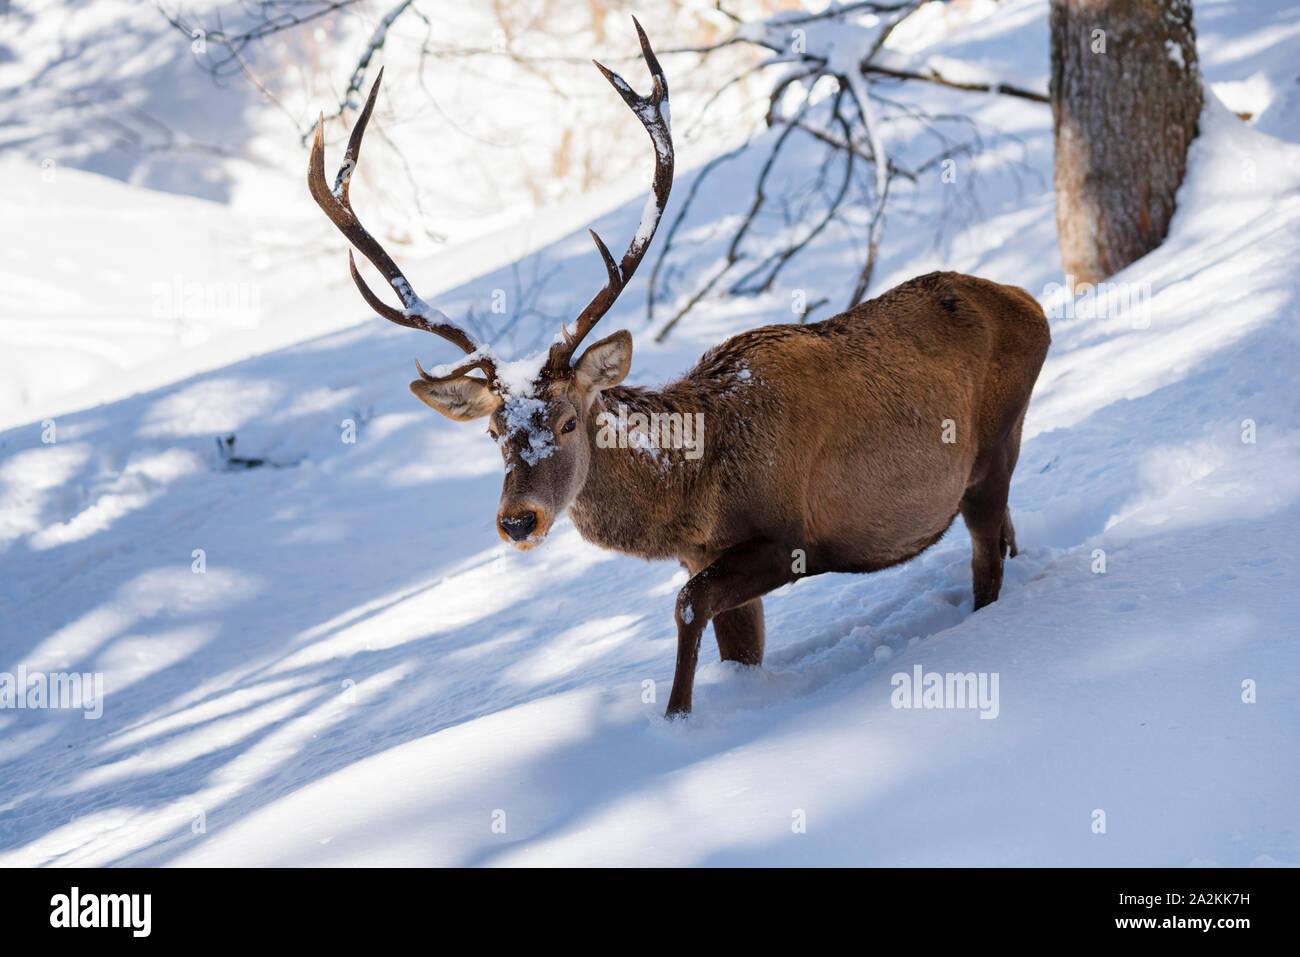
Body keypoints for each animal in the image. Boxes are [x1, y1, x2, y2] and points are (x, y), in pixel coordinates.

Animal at [306, 18, 1055, 712]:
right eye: (493, 433)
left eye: (569, 421)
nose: (517, 521)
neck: (695, 488)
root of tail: (1032, 302)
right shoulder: (706, 552)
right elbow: (735, 646)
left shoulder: (787, 537)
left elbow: (686, 606)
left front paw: (675, 718)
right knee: (1009, 539)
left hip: (995, 448)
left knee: (987, 554)